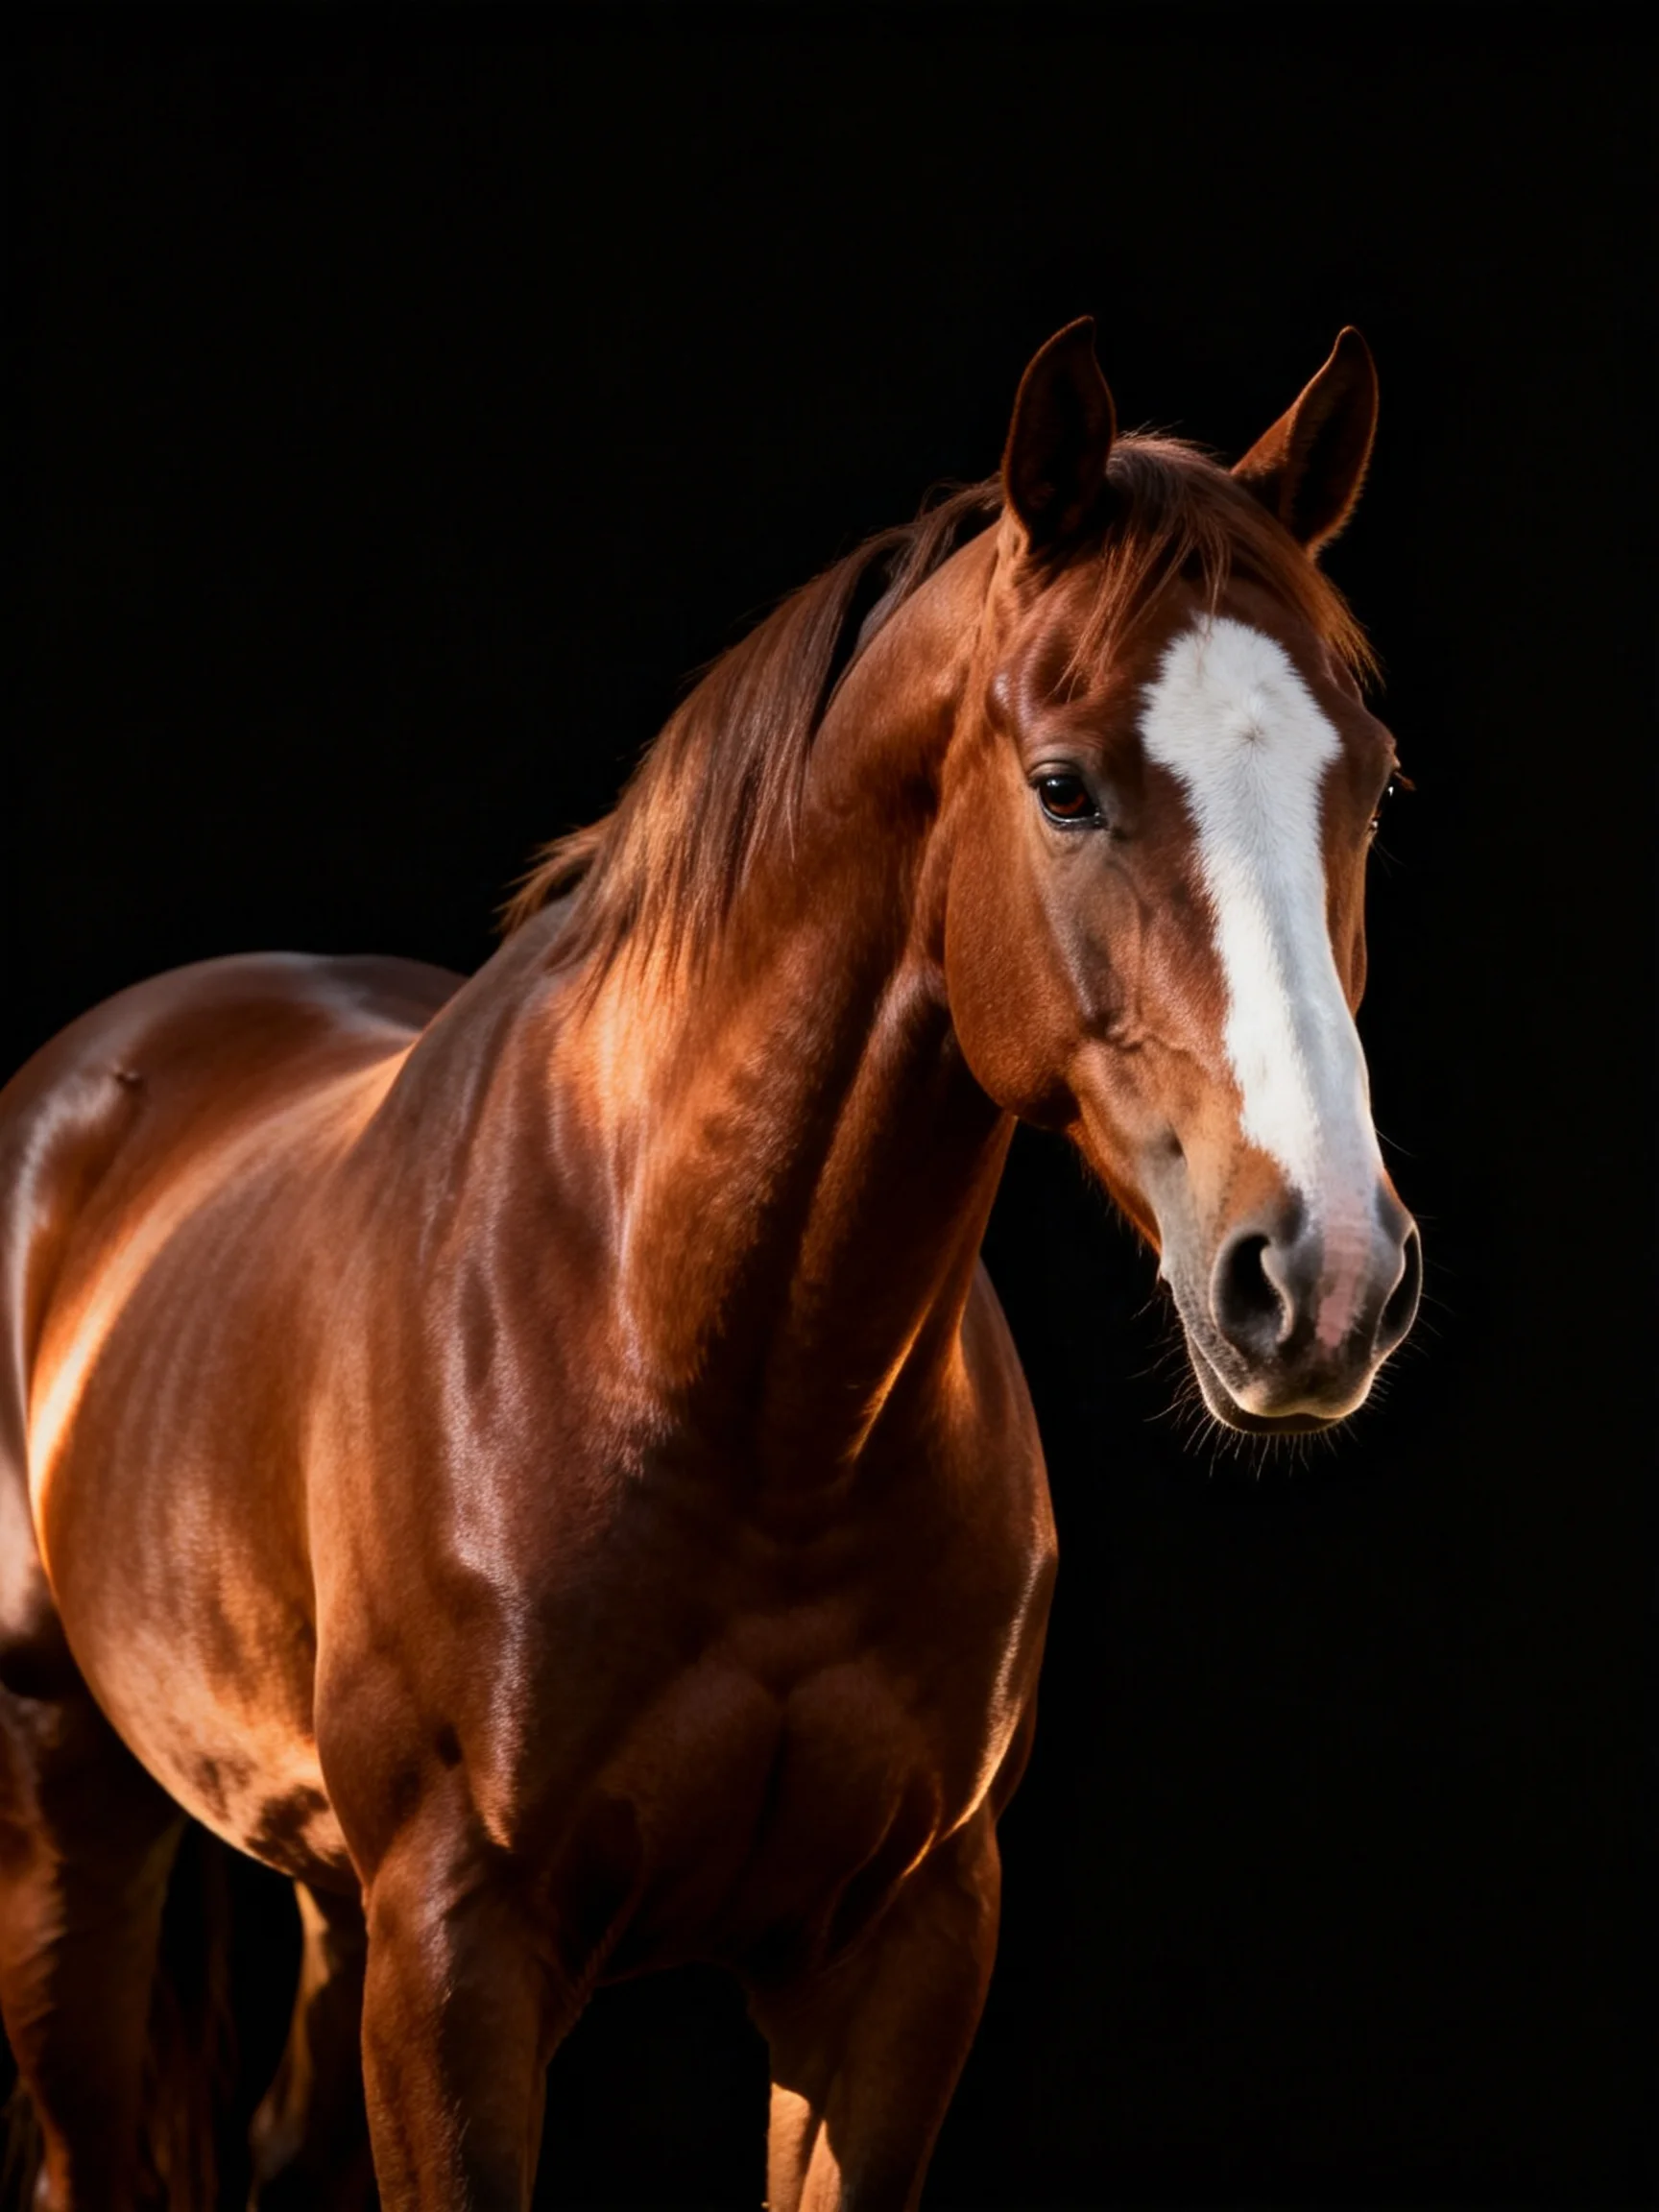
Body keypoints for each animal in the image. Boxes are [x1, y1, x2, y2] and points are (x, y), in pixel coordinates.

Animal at [0, 318, 1419, 2210]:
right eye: (1063, 787)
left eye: (1371, 779)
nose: (1322, 1274)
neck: (721, 1374)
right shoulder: (457, 1961)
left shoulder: (895, 1959)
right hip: (70, 1822)